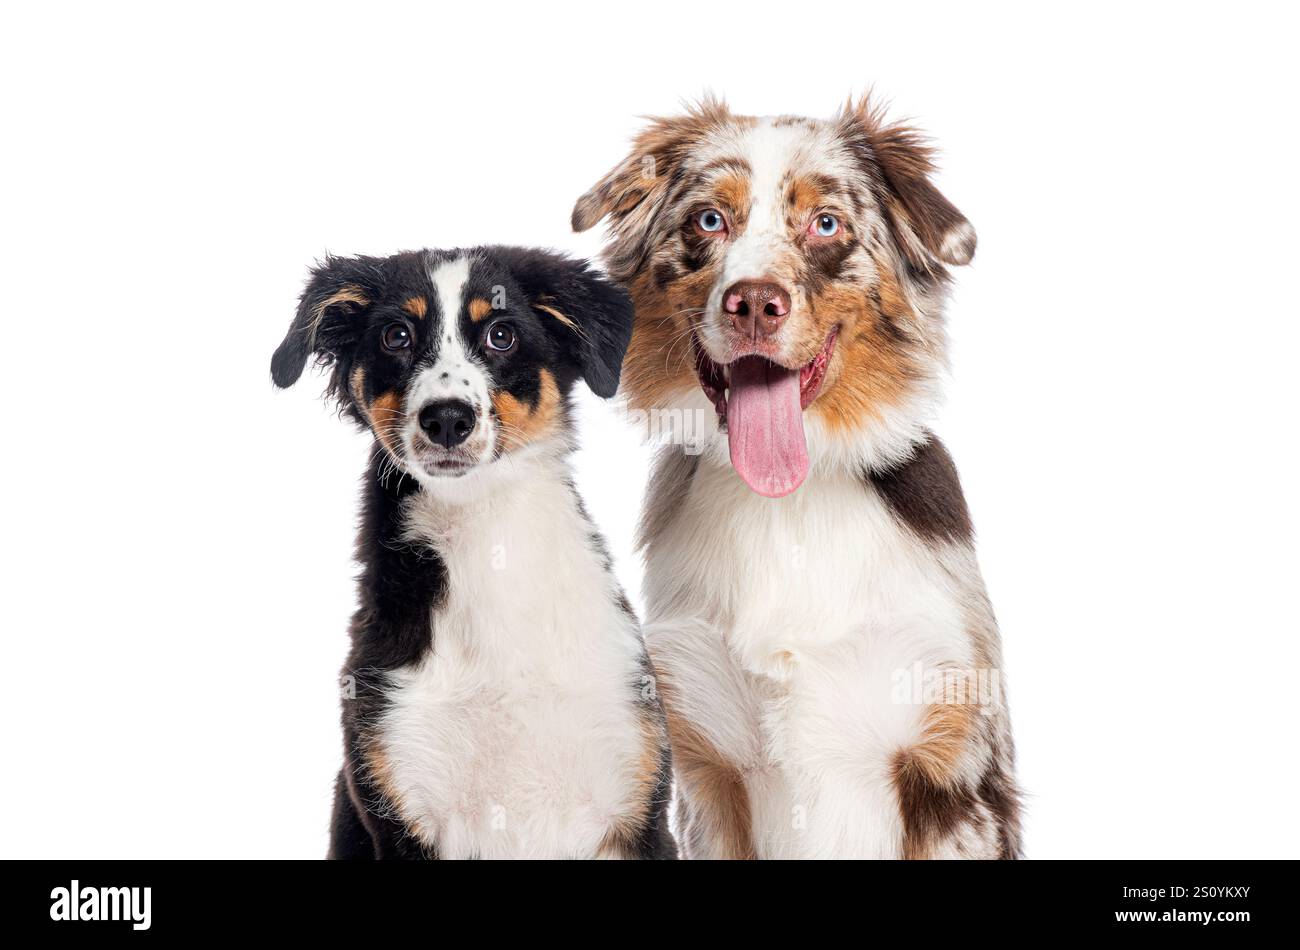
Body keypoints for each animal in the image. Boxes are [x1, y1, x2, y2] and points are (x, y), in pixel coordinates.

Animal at [276, 249, 681, 857]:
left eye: (501, 335)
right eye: (396, 336)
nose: (447, 418)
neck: (486, 542)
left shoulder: (636, 811)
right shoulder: (401, 799)